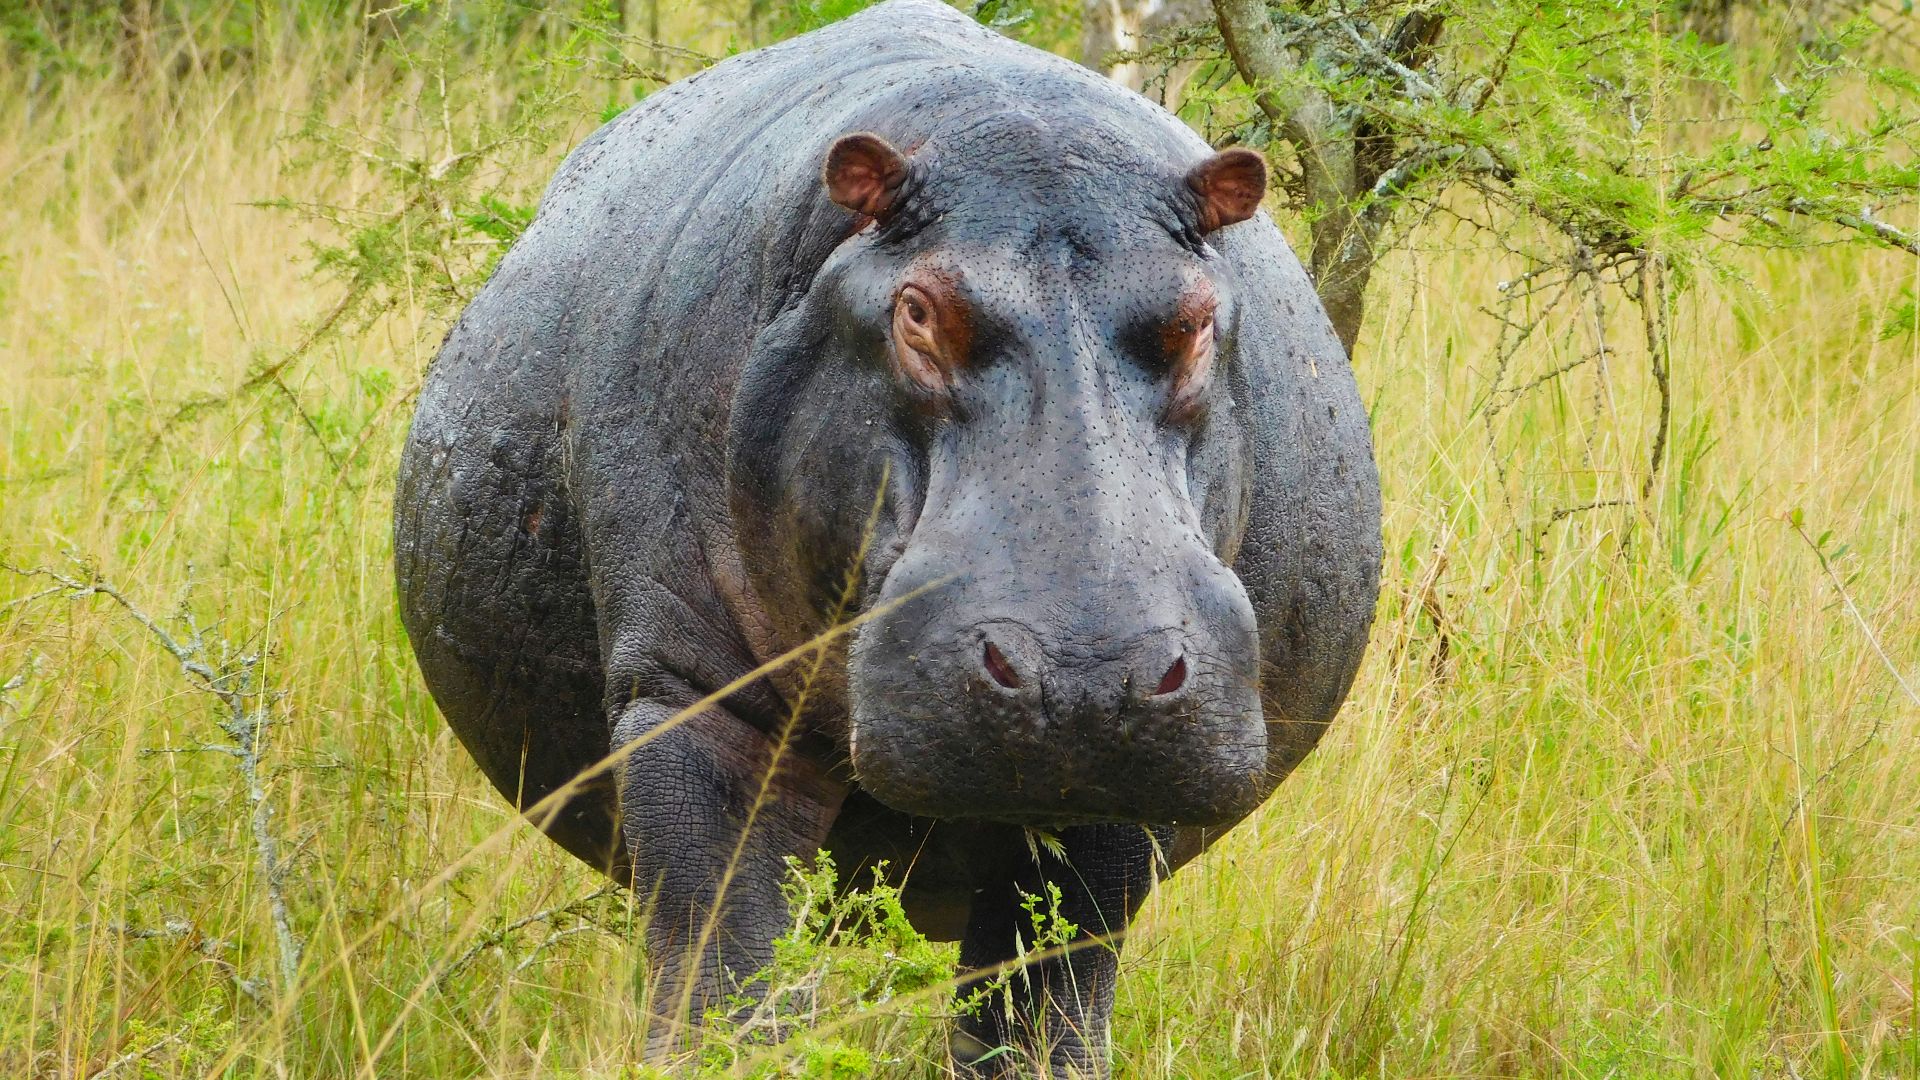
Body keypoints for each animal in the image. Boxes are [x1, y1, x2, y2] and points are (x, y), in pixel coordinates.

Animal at [392, 0, 1381, 1074]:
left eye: (1200, 321)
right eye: (915, 310)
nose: (1084, 674)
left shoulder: (1120, 793)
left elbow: (1043, 1012)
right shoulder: (692, 696)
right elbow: (722, 971)